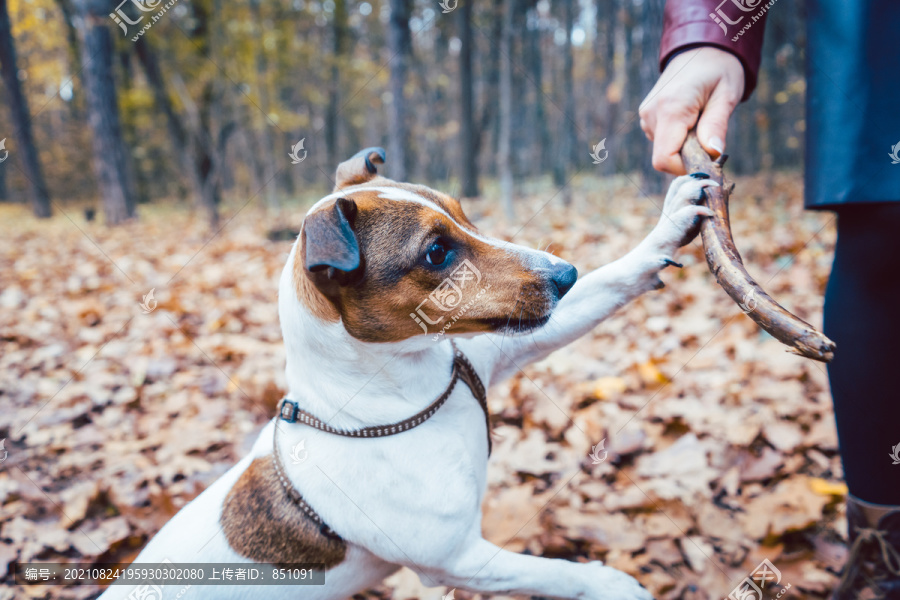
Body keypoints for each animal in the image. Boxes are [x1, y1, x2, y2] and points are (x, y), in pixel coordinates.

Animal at [100, 146, 716, 600]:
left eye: (463, 213)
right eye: (437, 253)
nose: (564, 274)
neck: (404, 395)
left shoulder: (503, 348)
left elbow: (614, 280)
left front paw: (667, 226)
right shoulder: (458, 560)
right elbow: (558, 572)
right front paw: (611, 583)